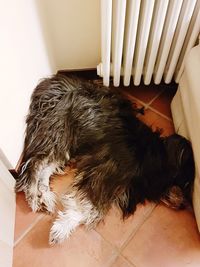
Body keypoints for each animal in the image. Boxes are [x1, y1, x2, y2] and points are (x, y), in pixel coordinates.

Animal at [16, 74, 195, 245]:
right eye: (186, 183)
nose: (184, 206)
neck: (152, 157)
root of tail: (52, 82)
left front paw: (63, 225)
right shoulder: (105, 173)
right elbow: (91, 207)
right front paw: (61, 229)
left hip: (67, 143)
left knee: (46, 168)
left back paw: (45, 196)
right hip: (58, 132)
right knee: (34, 164)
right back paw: (33, 196)